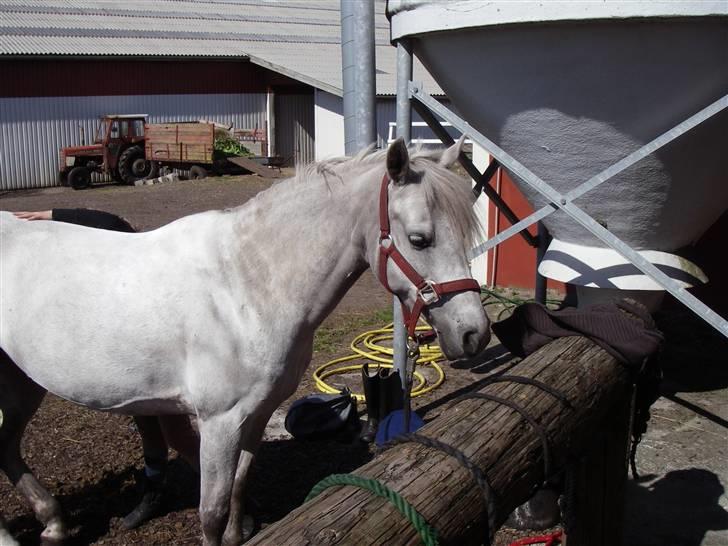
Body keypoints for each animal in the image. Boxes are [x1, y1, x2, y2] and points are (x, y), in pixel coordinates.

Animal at [1, 138, 490, 540]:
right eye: (419, 239)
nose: (474, 333)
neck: (244, 283)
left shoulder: (255, 414)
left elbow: (238, 492)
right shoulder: (219, 422)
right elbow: (213, 513)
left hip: (22, 382)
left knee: (7, 446)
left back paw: (53, 523)